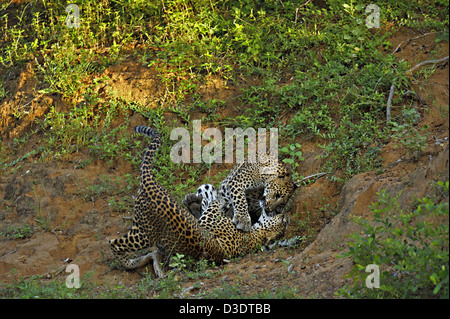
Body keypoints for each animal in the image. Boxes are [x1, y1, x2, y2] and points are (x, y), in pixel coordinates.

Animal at [109, 127, 288, 278]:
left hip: (143, 232)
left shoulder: (211, 221)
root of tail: (150, 184)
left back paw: (131, 262)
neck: (254, 237)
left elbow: (215, 205)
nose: (280, 212)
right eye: (284, 219)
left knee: (114, 244)